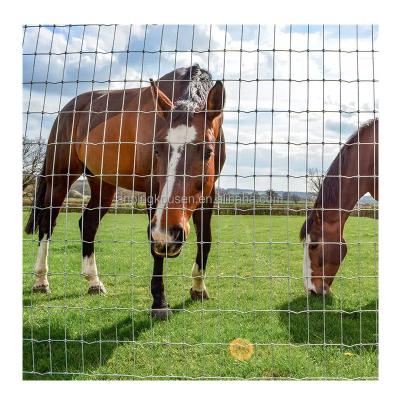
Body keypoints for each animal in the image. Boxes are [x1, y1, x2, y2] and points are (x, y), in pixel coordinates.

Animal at [25, 64, 225, 318]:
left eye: (208, 152)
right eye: (156, 149)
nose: (169, 235)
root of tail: (68, 109)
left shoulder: (209, 192)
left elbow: (205, 240)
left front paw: (199, 288)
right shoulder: (152, 192)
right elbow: (155, 248)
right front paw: (159, 302)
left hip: (102, 183)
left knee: (88, 223)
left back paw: (93, 282)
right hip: (60, 178)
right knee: (47, 223)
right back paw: (41, 281)